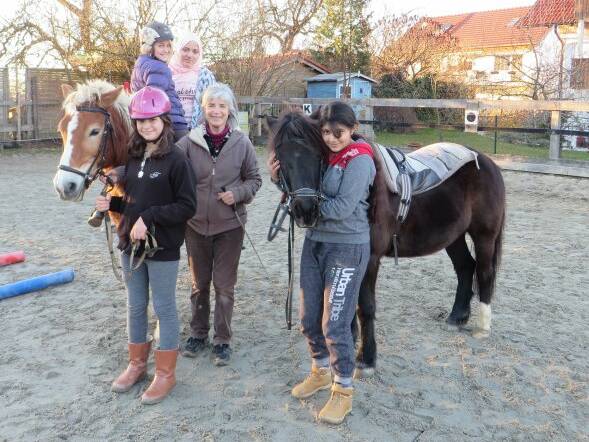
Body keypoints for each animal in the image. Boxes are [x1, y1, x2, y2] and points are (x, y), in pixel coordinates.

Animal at [268, 111, 504, 376]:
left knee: (484, 272)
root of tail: (486, 161)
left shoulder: (370, 259)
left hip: (484, 235)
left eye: (318, 155)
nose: (306, 210)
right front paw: (351, 339)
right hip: (453, 236)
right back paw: (456, 317)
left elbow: (365, 306)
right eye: (280, 157)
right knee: (465, 267)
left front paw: (366, 358)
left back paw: (482, 328)